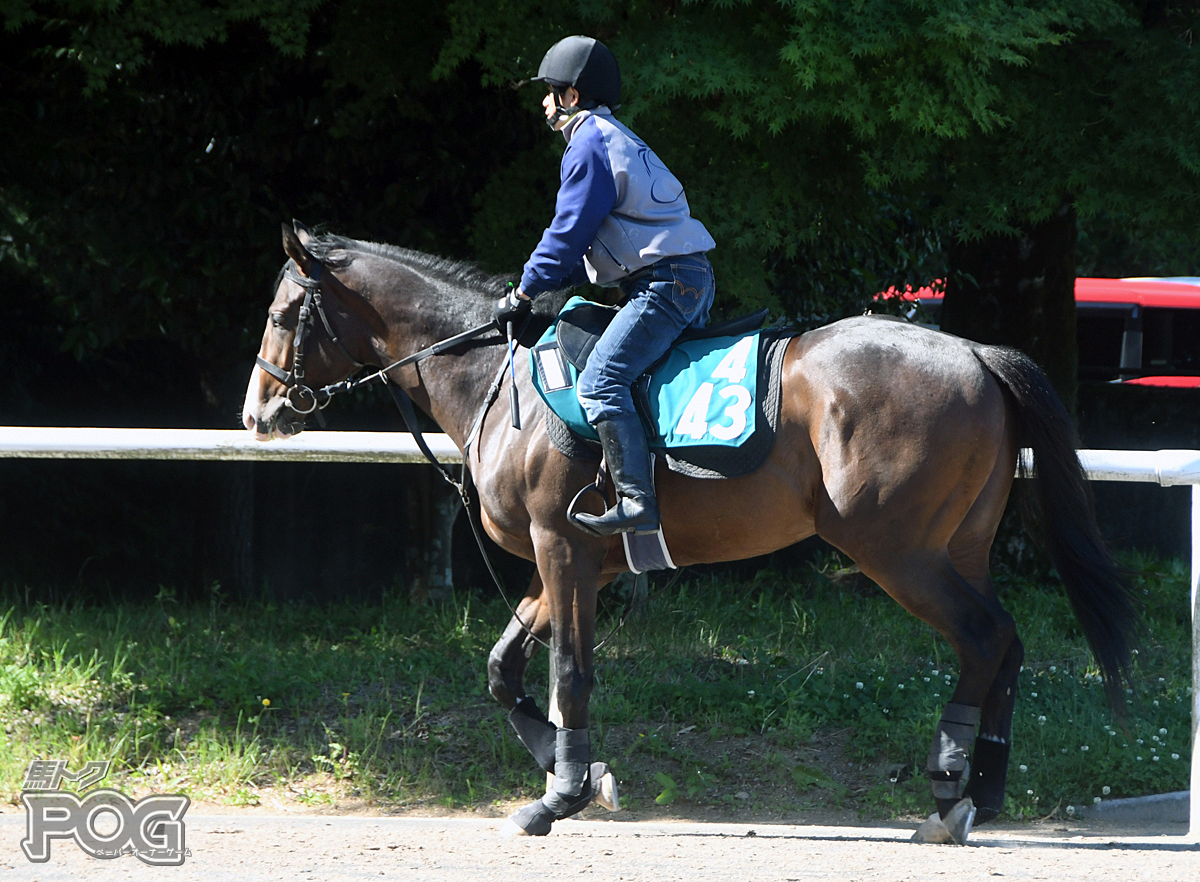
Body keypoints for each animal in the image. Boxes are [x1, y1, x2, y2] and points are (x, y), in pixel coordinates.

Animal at [241, 222, 1132, 840]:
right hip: (958, 548)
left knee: (983, 638)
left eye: (284, 313)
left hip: (898, 552)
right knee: (1006, 644)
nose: (258, 413)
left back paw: (949, 795)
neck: (495, 376)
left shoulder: (563, 551)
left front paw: (560, 795)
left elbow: (569, 673)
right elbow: (503, 669)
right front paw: (582, 773)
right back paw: (983, 791)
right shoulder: (579, 562)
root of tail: (975, 353)